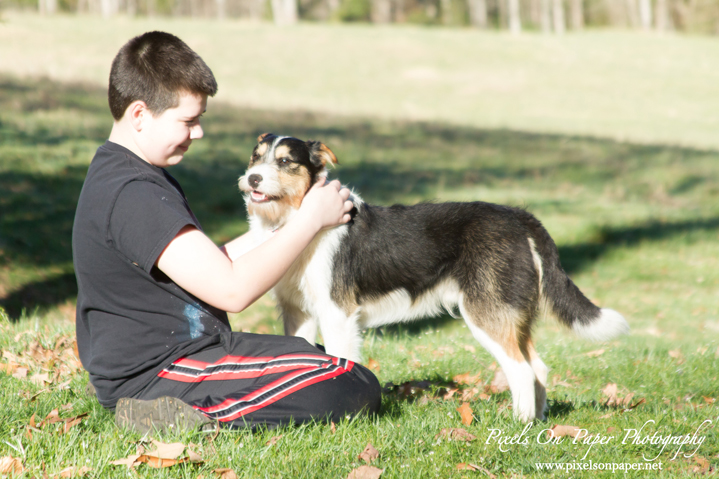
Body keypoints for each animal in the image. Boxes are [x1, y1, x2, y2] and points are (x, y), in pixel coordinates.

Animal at [238, 133, 632, 422]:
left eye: (285, 161)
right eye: (255, 158)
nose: (252, 179)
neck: (298, 221)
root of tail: (518, 217)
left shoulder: (337, 314)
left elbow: (342, 361)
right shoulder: (298, 313)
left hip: (486, 315)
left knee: (520, 370)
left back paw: (518, 425)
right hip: (512, 315)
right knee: (538, 368)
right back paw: (538, 420)